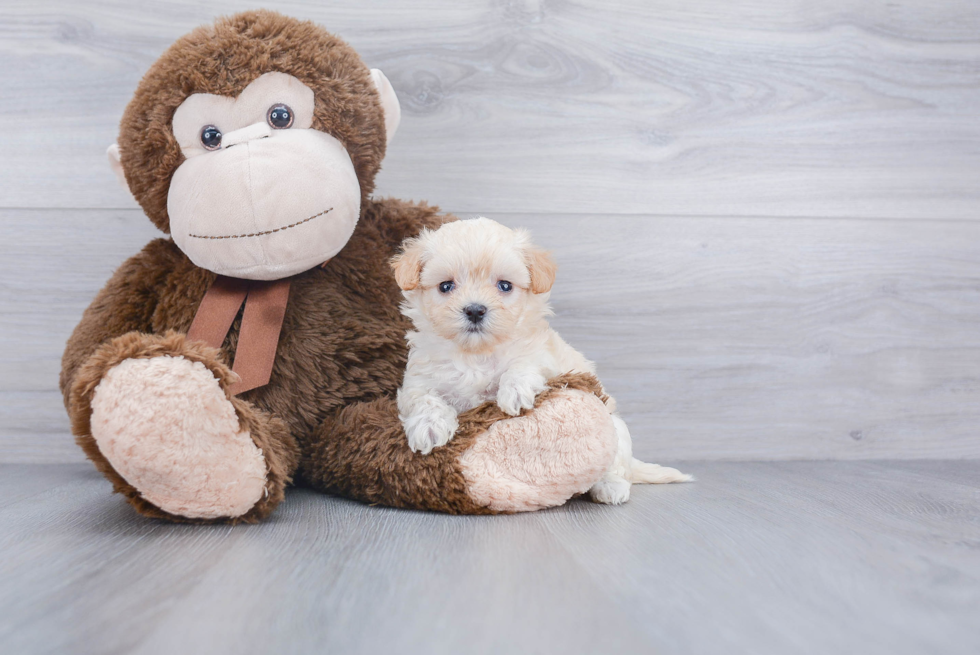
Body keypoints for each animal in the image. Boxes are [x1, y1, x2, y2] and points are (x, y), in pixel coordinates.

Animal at [388, 218, 688, 504]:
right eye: (446, 286)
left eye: (505, 285)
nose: (474, 310)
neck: (476, 353)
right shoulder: (418, 377)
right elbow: (422, 398)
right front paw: (429, 427)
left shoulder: (544, 358)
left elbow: (523, 364)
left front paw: (515, 391)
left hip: (617, 431)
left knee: (614, 466)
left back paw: (610, 487)